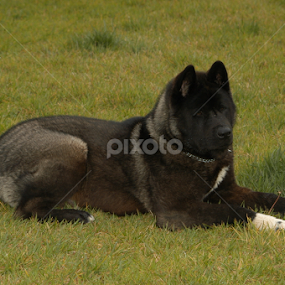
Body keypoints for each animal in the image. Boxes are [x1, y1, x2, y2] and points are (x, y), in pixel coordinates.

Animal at [0, 61, 284, 230]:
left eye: (223, 109)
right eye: (200, 114)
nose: (226, 133)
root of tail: (3, 143)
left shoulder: (228, 190)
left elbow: (268, 197)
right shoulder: (178, 211)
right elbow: (237, 211)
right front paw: (272, 222)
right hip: (74, 148)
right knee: (26, 210)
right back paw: (78, 216)